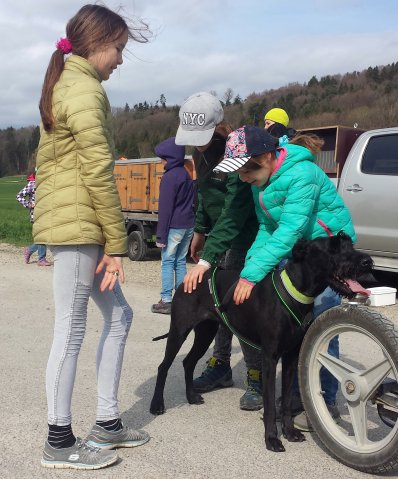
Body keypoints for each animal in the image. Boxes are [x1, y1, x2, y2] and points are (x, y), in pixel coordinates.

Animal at [150, 232, 374, 454]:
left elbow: (285, 402)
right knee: (163, 366)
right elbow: (270, 405)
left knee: (188, 361)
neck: (295, 292)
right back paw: (156, 404)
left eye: (349, 244)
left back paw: (191, 396)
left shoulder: (291, 357)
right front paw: (272, 439)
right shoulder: (270, 358)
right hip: (179, 331)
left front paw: (289, 432)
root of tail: (189, 278)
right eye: (333, 248)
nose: (367, 262)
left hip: (206, 333)